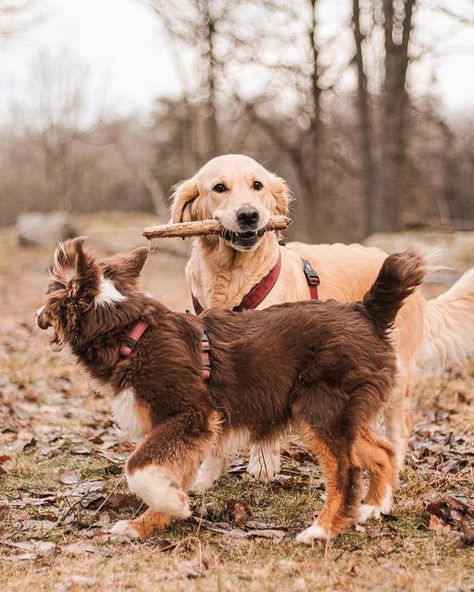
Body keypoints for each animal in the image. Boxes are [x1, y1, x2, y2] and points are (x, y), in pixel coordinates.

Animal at [36, 239, 422, 540]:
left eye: (50, 292)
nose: (37, 315)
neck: (132, 333)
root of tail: (365, 312)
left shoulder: (192, 415)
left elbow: (137, 467)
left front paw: (172, 504)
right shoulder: (188, 431)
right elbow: (170, 472)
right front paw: (150, 520)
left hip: (319, 410)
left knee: (346, 471)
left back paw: (322, 529)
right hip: (343, 414)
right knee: (382, 451)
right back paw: (374, 507)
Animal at [170, 151, 474, 480]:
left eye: (257, 185)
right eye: (219, 188)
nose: (249, 215)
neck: (232, 277)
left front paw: (262, 466)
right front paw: (207, 475)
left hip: (396, 369)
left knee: (400, 426)